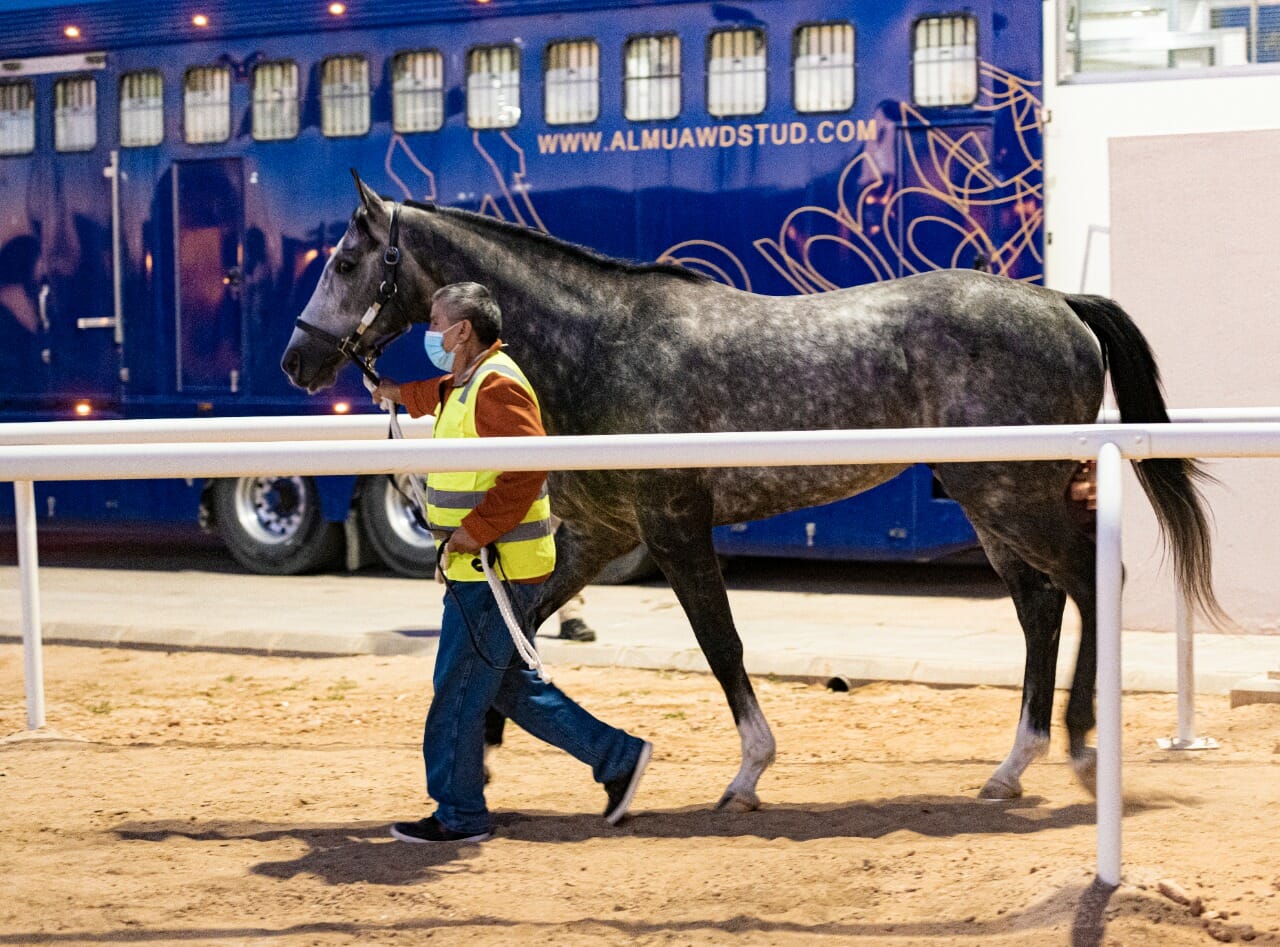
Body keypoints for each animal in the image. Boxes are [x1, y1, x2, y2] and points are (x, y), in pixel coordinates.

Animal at [280, 175, 1218, 808]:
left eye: (347, 259)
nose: (297, 359)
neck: (605, 344)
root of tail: (1061, 305)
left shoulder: (673, 527)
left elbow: (720, 643)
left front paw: (748, 771)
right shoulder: (599, 536)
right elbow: (516, 641)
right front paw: (482, 751)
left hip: (1011, 494)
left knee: (1090, 582)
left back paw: (1081, 749)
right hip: (994, 503)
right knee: (1040, 605)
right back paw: (1013, 764)